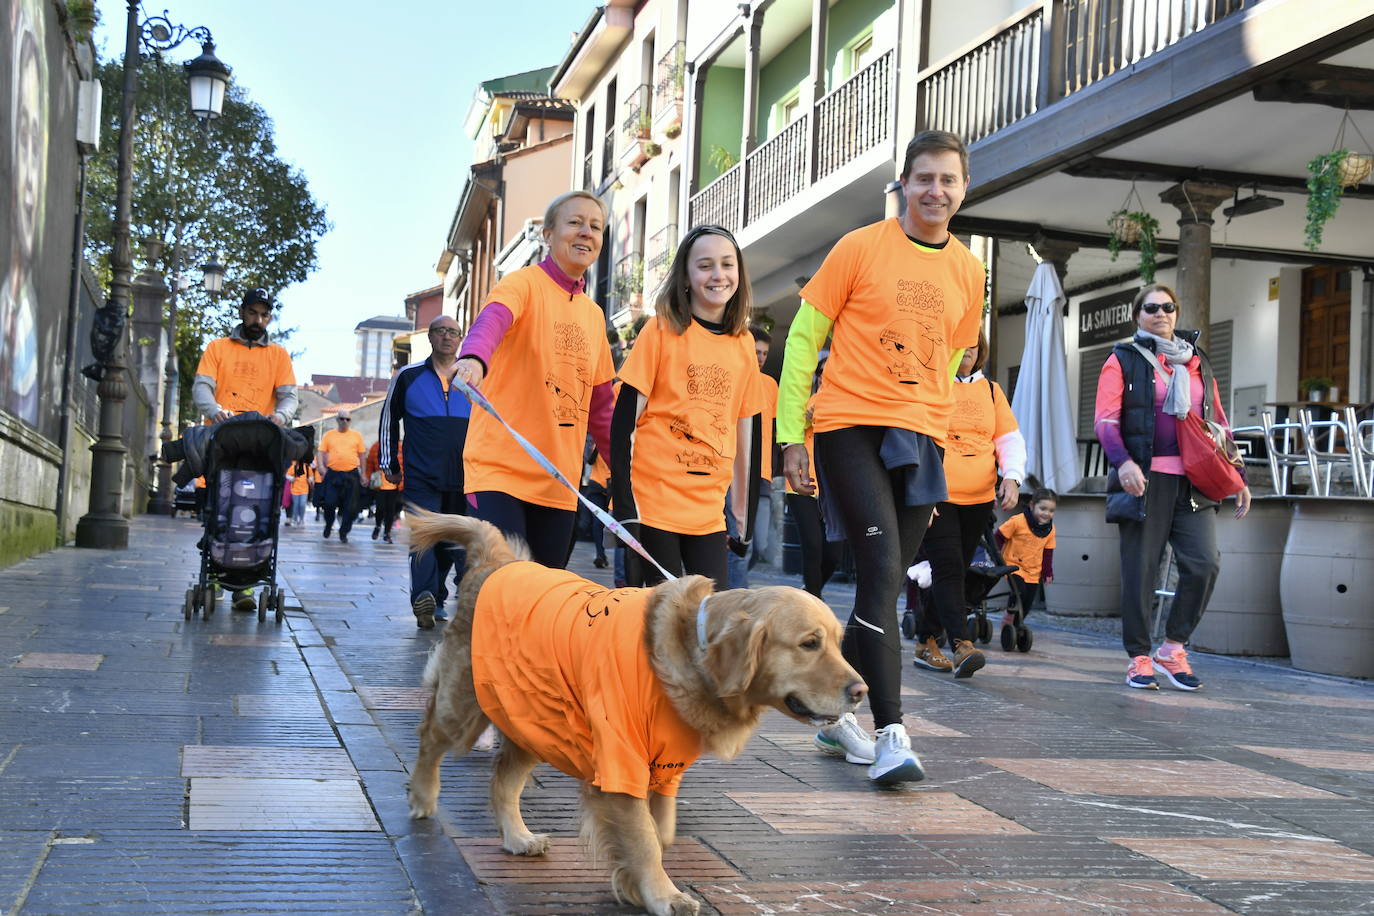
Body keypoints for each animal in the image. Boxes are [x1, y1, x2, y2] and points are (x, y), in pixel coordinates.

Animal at [401, 513, 862, 911]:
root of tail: (497, 562)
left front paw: (634, 885)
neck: (695, 652)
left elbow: (660, 834)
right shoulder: (620, 763)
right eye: (809, 643)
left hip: (535, 718)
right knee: (428, 737)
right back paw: (422, 797)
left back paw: (517, 837)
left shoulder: (664, 770)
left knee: (503, 780)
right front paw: (664, 895)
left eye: (840, 643)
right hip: (464, 707)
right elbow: (644, 840)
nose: (862, 691)